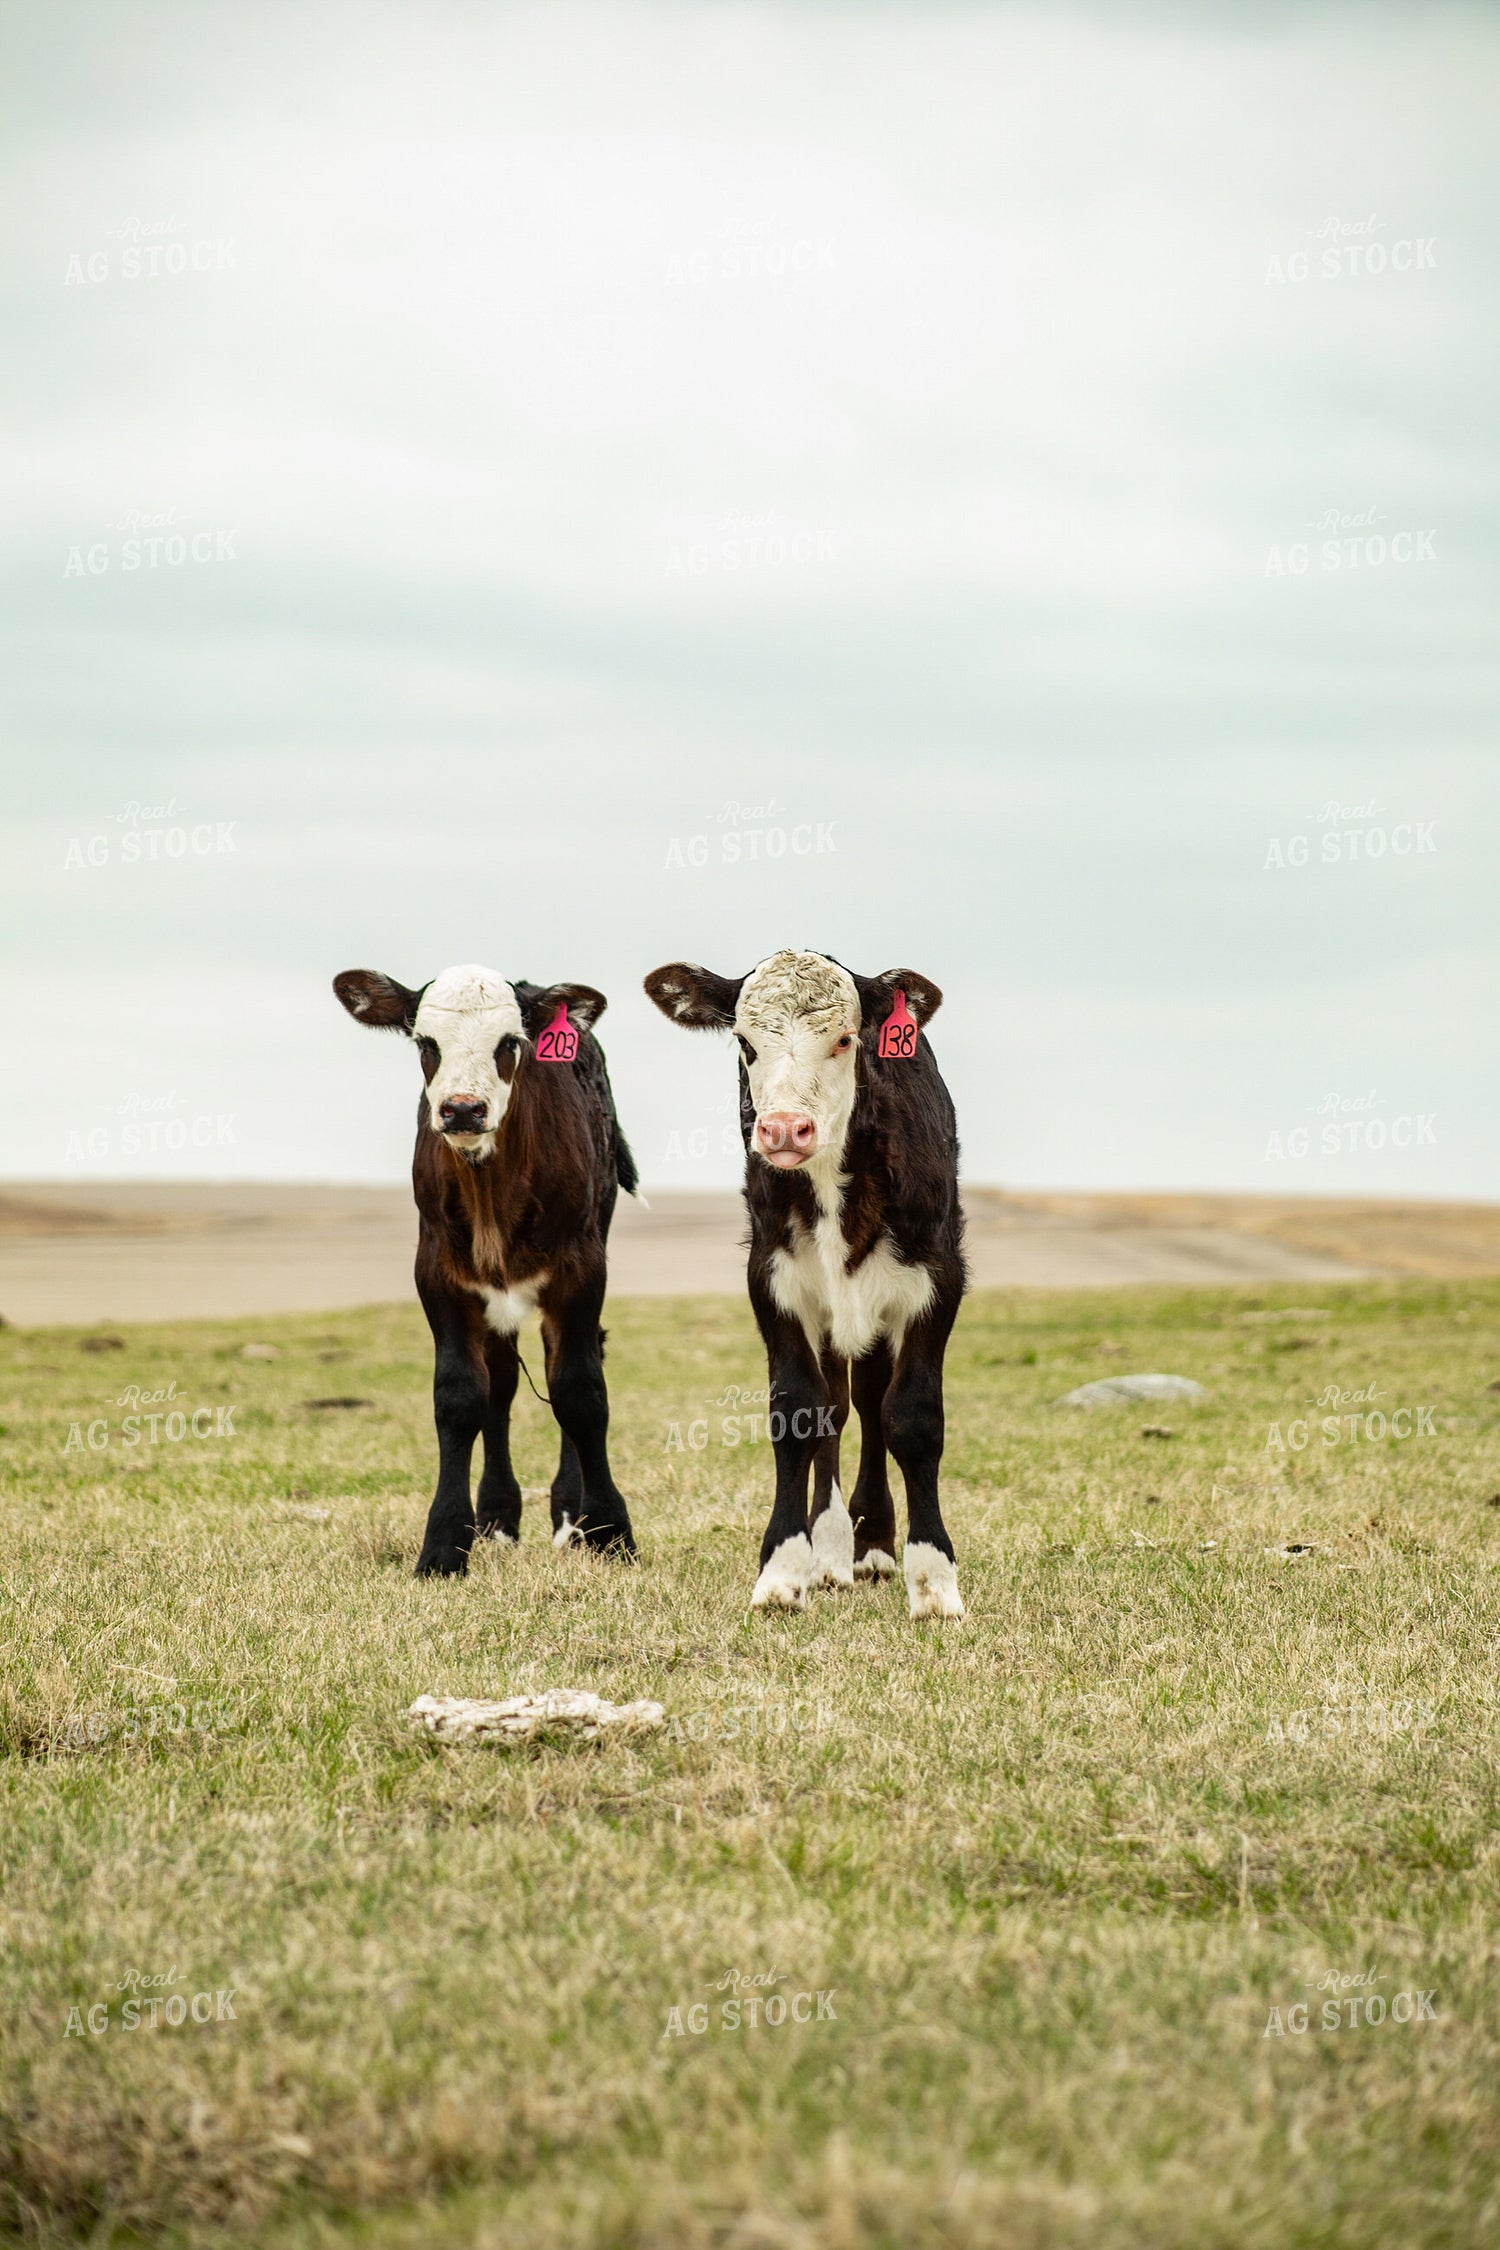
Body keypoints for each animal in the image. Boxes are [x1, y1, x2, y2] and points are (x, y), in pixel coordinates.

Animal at [333, 963, 639, 1576]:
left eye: (510, 1043)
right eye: (426, 1043)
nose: (463, 1109)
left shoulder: (581, 1271)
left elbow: (580, 1391)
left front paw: (610, 1530)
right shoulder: (439, 1275)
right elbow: (460, 1396)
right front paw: (445, 1543)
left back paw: (569, 1513)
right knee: (500, 1385)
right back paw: (498, 1518)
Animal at [643, 948, 965, 1620]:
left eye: (845, 1038)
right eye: (745, 1042)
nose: (786, 1129)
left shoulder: (937, 1282)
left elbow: (912, 1415)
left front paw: (934, 1580)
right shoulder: (774, 1283)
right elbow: (799, 1411)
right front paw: (785, 1567)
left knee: (870, 1404)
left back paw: (873, 1547)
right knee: (838, 1409)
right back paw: (834, 1551)